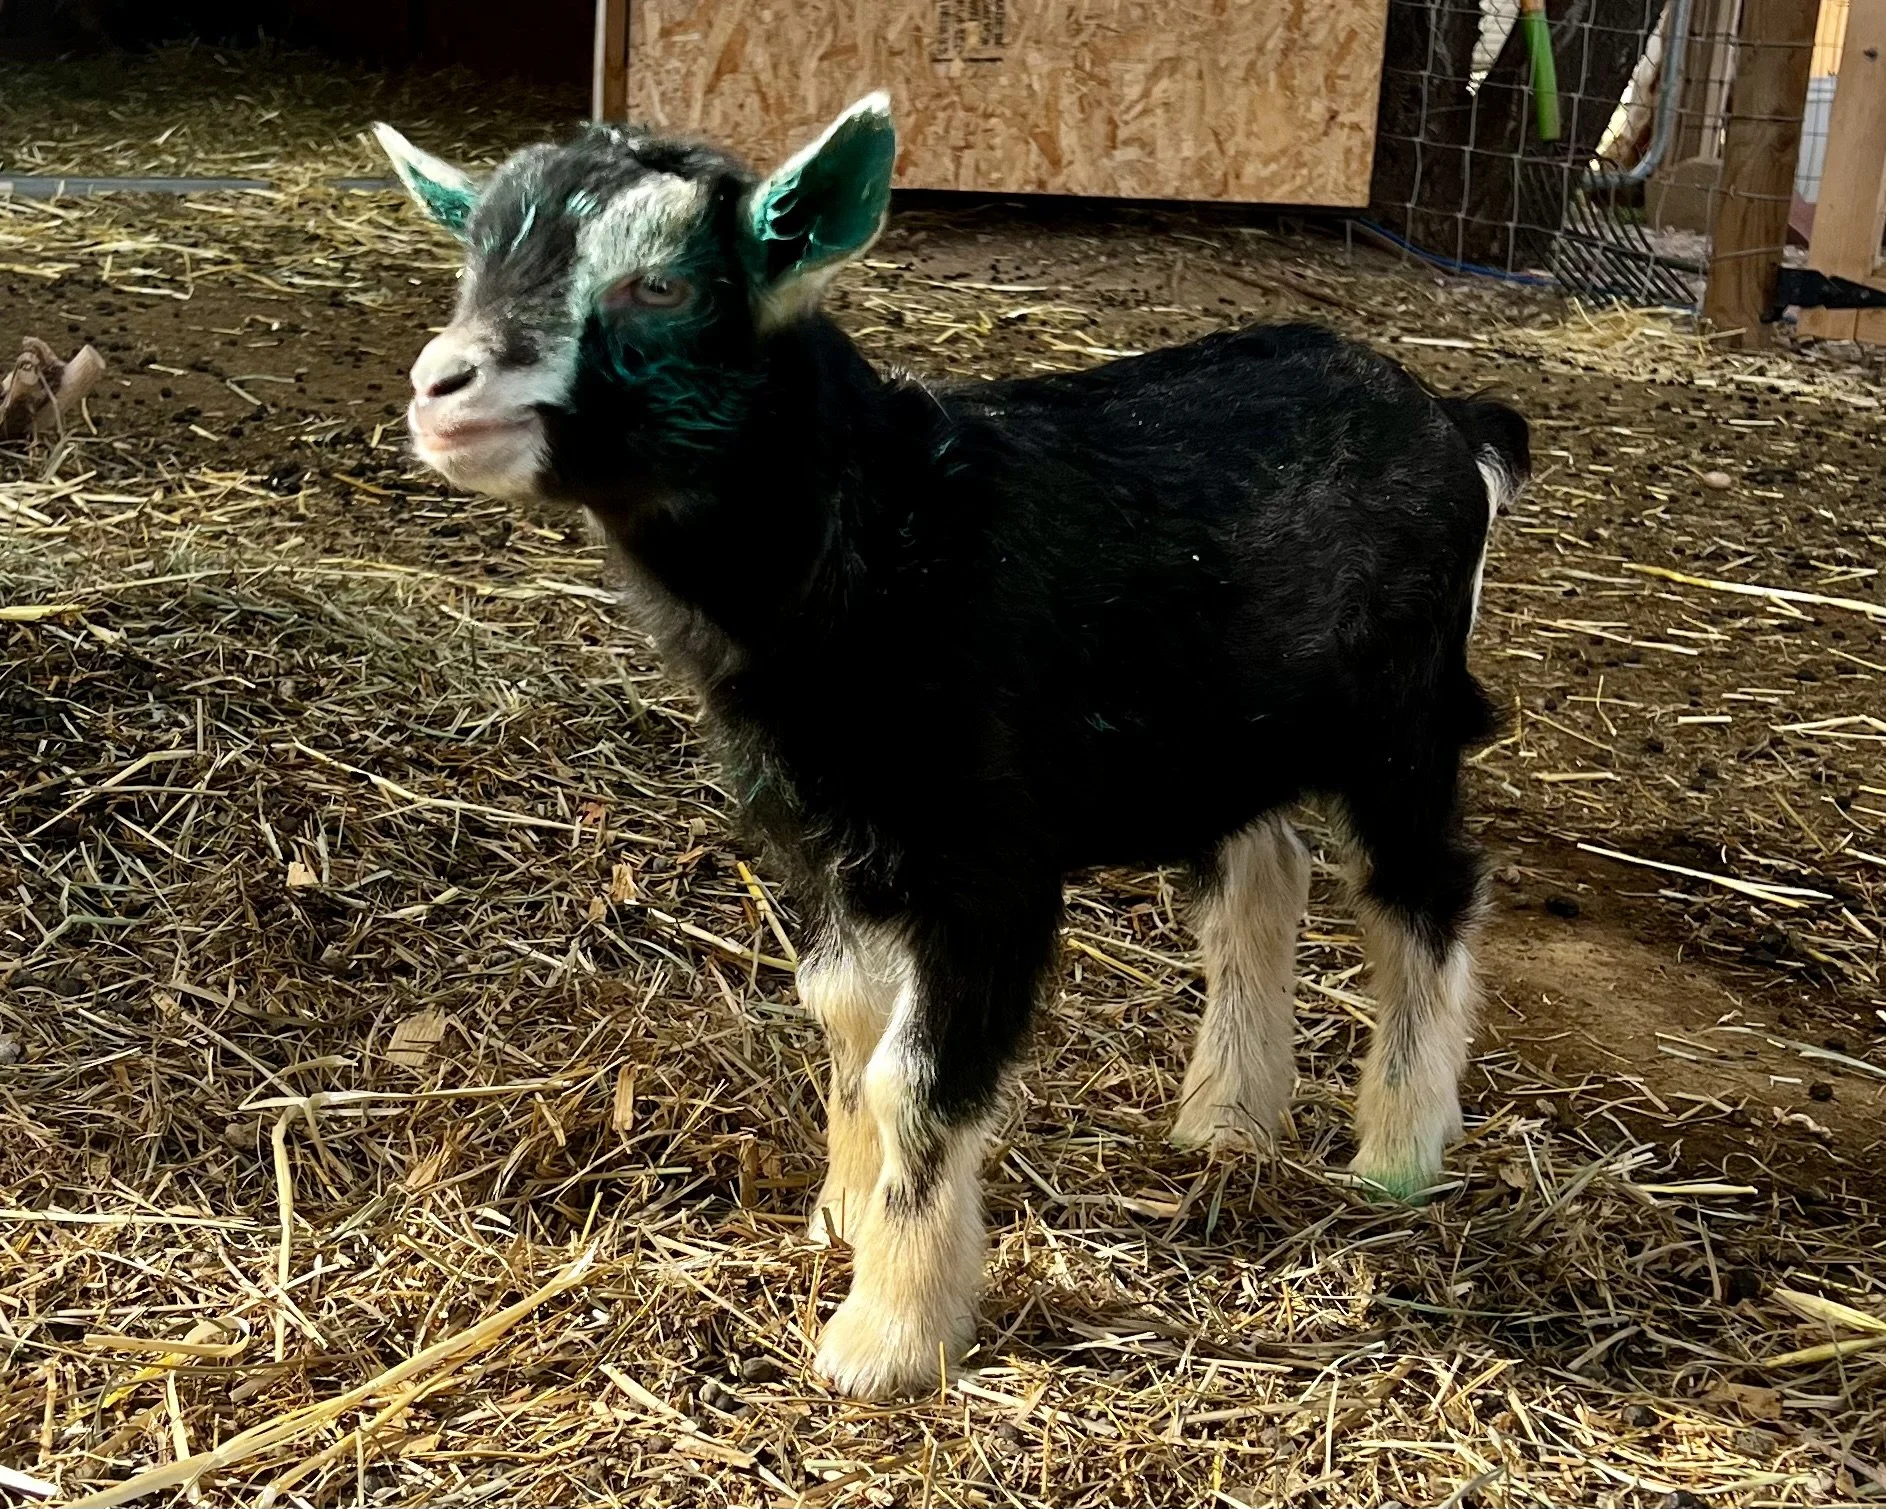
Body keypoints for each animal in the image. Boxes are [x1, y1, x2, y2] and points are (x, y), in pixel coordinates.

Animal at [375, 96, 1529, 1399]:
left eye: (659, 283)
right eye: (471, 259)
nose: (442, 388)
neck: (890, 538)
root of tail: (1451, 424)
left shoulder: (985, 857)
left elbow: (916, 1075)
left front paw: (885, 1337)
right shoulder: (833, 830)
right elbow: (840, 1014)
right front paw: (838, 1217)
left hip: (1399, 720)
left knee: (1421, 893)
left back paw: (1395, 1153)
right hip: (1226, 734)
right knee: (1257, 883)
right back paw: (1226, 1122)